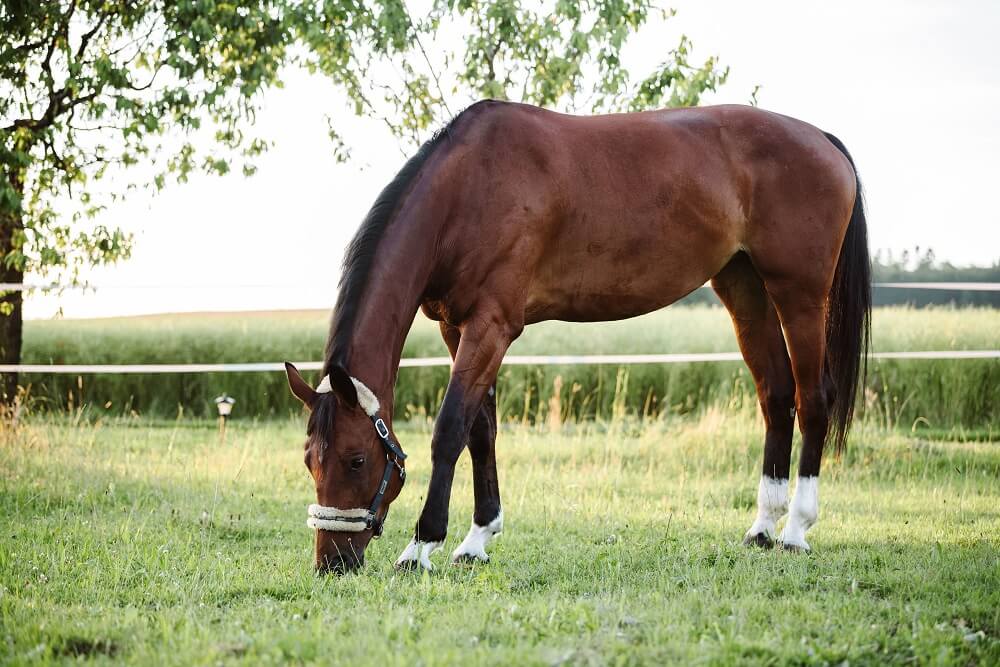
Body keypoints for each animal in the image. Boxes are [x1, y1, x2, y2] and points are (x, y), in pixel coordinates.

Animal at [282, 99, 868, 576]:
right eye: (310, 460)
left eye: (357, 460)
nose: (332, 563)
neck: (470, 188)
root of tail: (822, 139)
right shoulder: (458, 326)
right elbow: (481, 430)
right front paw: (477, 540)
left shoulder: (491, 326)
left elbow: (450, 429)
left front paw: (421, 546)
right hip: (745, 288)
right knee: (776, 397)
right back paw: (763, 528)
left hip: (799, 294)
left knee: (813, 399)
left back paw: (796, 530)